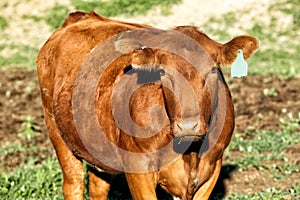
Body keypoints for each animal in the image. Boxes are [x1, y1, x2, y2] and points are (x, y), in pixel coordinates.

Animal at [37, 10, 258, 200]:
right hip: (56, 129)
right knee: (73, 183)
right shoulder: (139, 170)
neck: (190, 153)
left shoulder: (212, 168)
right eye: (162, 72)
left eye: (213, 69)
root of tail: (81, 17)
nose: (188, 126)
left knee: (98, 187)